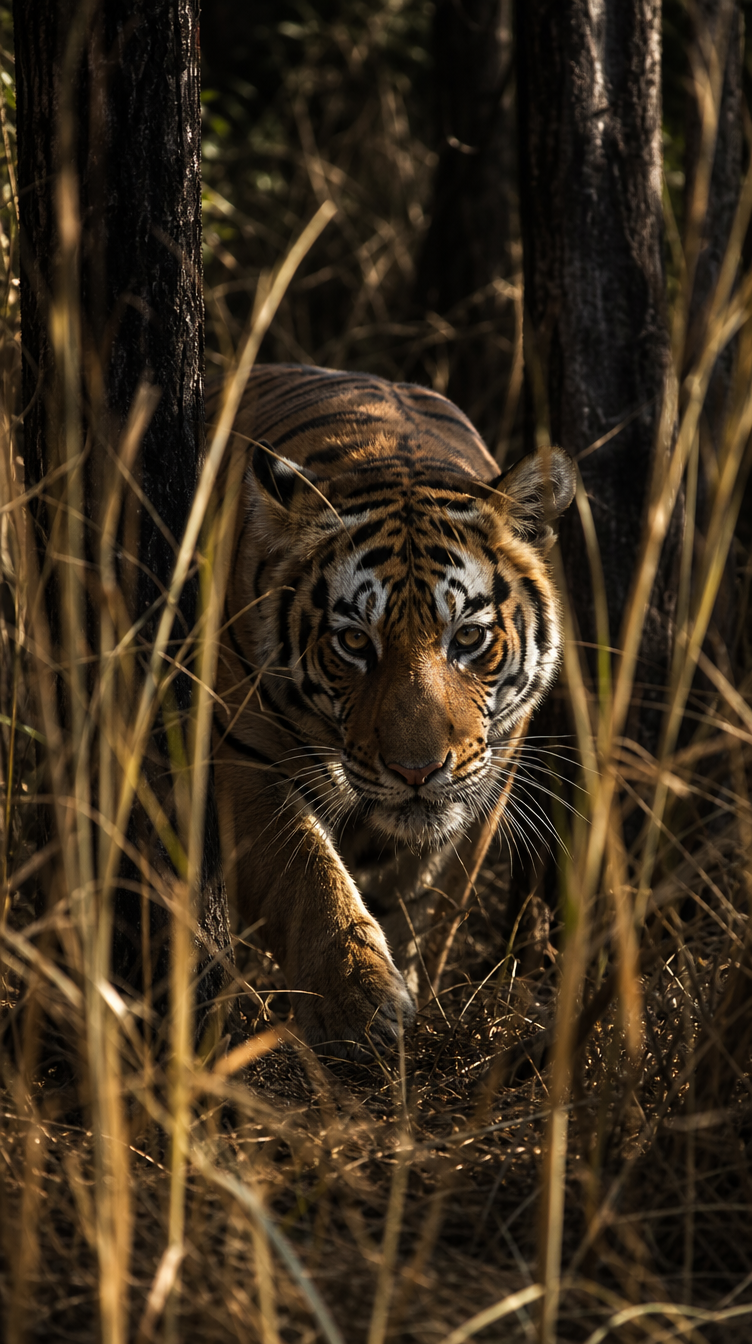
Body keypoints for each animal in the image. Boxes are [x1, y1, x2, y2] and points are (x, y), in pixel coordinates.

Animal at [211, 364, 575, 1058]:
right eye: (355, 642)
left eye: (468, 637)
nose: (416, 771)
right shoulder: (237, 753)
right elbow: (306, 872)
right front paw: (360, 1005)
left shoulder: (492, 770)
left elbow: (424, 893)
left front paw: (408, 990)